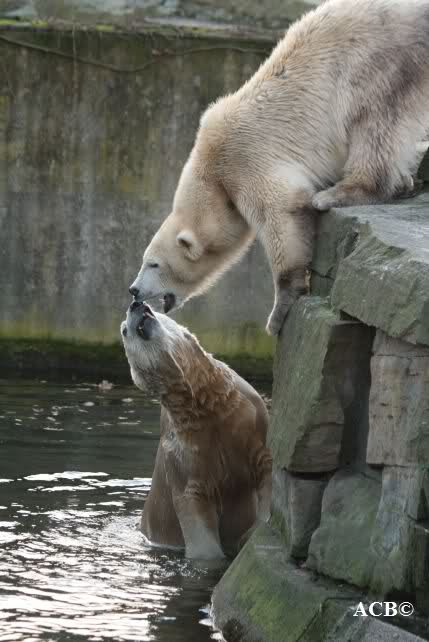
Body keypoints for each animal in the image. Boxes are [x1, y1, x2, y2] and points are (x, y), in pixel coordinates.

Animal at [121, 300, 272, 560]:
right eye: (123, 330)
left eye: (156, 310)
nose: (136, 303)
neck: (207, 404)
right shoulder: (182, 453)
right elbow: (194, 510)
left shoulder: (249, 421)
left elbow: (266, 473)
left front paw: (251, 535)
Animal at [129, 0, 429, 335]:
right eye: (145, 260)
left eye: (153, 263)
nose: (133, 289)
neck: (211, 173)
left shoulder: (245, 160)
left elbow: (281, 214)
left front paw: (278, 313)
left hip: (378, 60)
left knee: (374, 120)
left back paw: (342, 192)